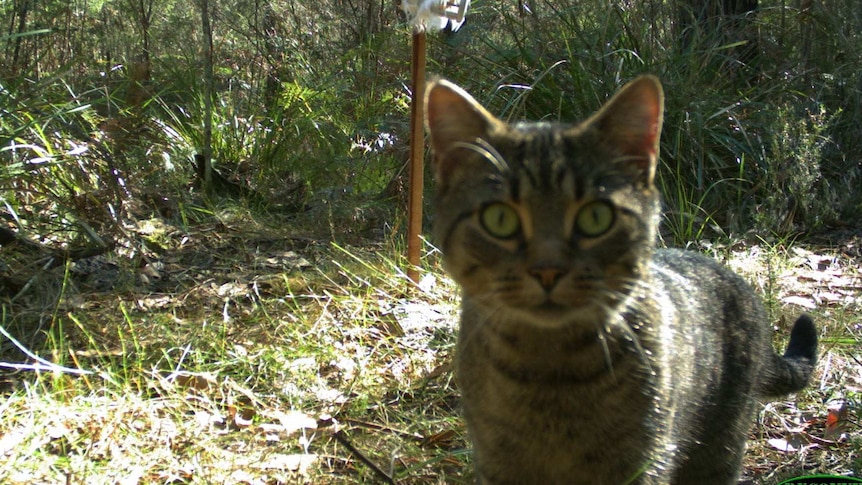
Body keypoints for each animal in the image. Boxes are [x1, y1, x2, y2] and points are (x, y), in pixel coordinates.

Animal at [428, 73, 820, 482]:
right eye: (500, 219)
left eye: (595, 217)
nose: (548, 269)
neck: (550, 376)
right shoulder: (497, 462)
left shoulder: (642, 461)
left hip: (717, 451)